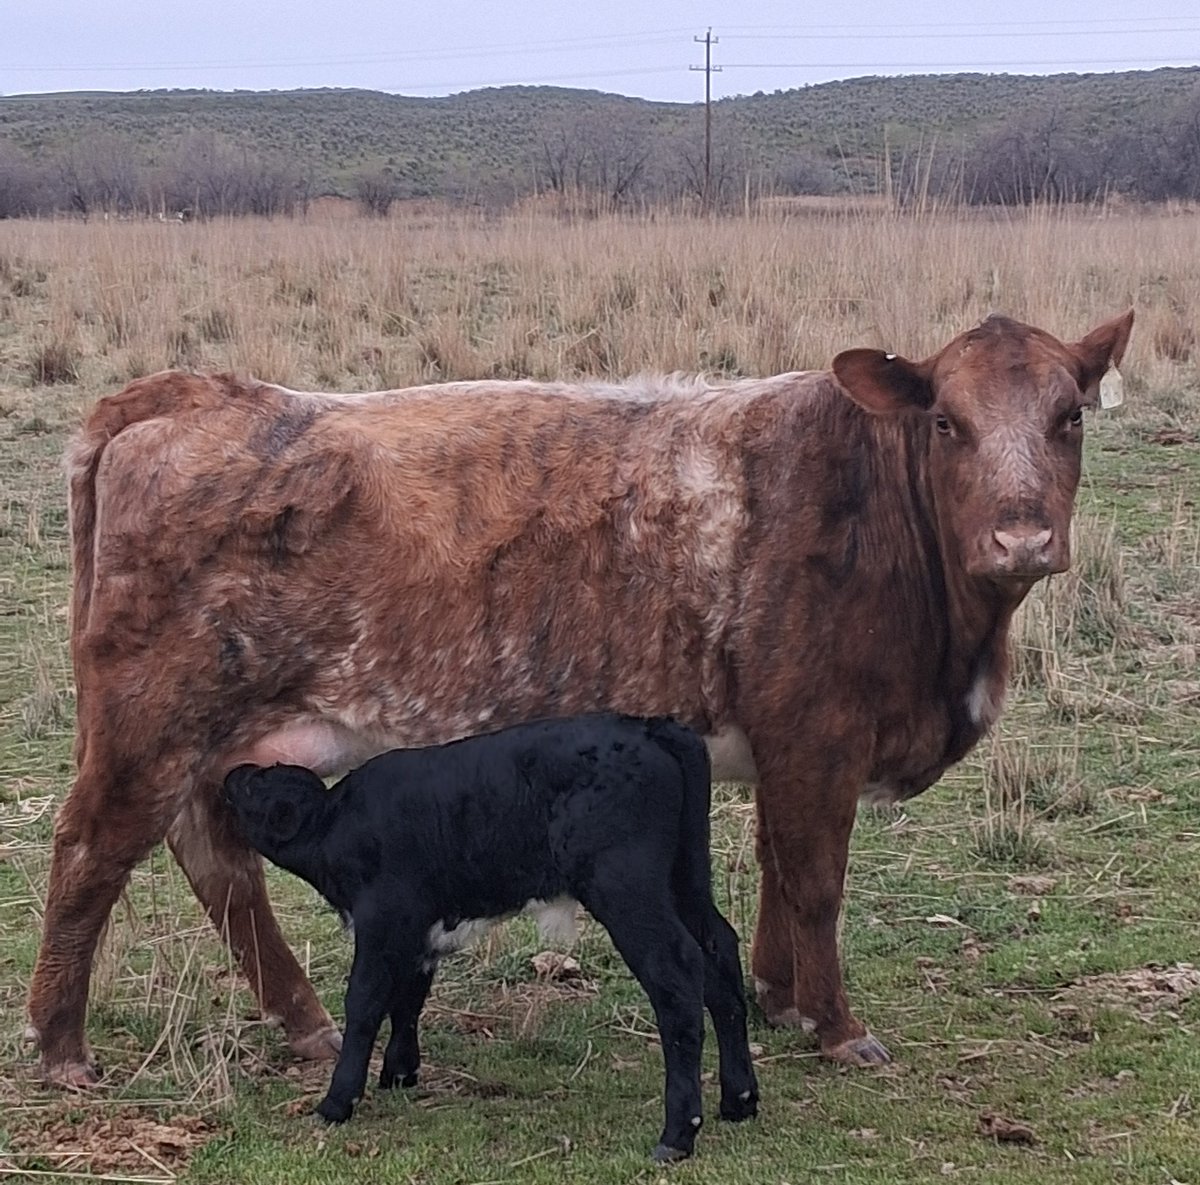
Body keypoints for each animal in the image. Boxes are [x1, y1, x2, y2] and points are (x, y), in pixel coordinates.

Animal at [27, 309, 1134, 1090]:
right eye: (947, 420)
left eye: (1069, 415)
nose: (1022, 536)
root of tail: (193, 394)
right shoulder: (818, 733)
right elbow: (817, 880)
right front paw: (839, 1027)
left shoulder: (784, 746)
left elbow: (781, 874)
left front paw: (780, 998)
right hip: (148, 723)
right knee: (91, 854)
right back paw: (62, 1047)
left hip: (219, 740)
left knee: (218, 866)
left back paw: (305, 1024)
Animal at [223, 714, 759, 1159]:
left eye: (254, 785)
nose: (232, 772)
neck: (339, 824)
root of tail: (650, 727)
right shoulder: (419, 931)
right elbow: (409, 999)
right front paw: (400, 1072)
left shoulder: (383, 922)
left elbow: (366, 1002)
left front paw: (337, 1101)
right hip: (686, 880)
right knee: (721, 957)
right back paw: (740, 1099)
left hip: (626, 887)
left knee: (678, 973)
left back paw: (678, 1134)